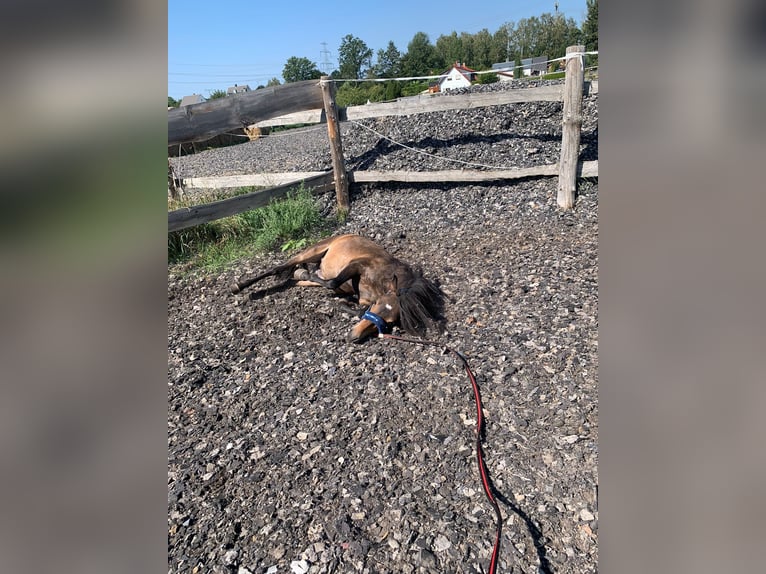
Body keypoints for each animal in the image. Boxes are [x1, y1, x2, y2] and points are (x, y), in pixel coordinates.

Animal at [231, 234, 444, 342]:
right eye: (377, 304)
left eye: (391, 322)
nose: (353, 337)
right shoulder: (356, 265)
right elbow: (333, 282)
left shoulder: (359, 297)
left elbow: (355, 306)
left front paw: (342, 304)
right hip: (312, 251)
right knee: (279, 268)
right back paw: (240, 287)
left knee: (292, 280)